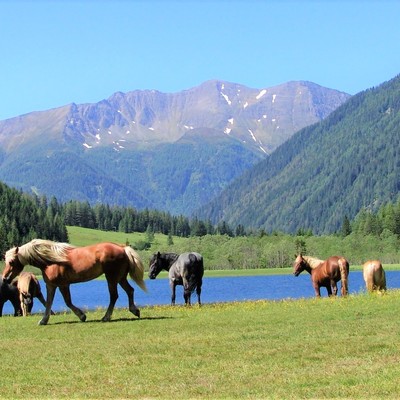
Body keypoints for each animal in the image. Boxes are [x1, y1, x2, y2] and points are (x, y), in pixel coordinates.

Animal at [3, 239, 147, 324]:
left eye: (11, 262)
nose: (5, 278)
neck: (51, 261)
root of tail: (123, 248)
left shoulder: (63, 285)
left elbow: (67, 302)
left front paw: (82, 316)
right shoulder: (51, 285)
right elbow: (49, 303)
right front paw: (44, 320)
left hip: (111, 278)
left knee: (114, 296)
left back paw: (106, 317)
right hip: (120, 278)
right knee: (130, 290)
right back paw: (135, 311)